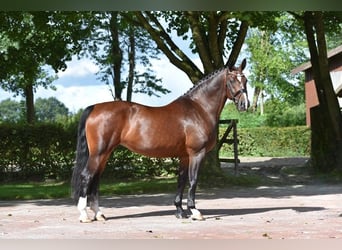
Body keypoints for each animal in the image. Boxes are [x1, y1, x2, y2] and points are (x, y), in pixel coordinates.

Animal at [71, 59, 248, 223]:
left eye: (245, 80)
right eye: (232, 80)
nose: (244, 104)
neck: (198, 108)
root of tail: (94, 107)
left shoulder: (185, 156)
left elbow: (181, 180)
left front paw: (180, 211)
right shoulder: (196, 154)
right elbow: (193, 180)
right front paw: (195, 211)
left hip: (104, 154)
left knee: (95, 179)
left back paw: (99, 214)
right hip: (98, 153)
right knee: (87, 176)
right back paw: (84, 215)